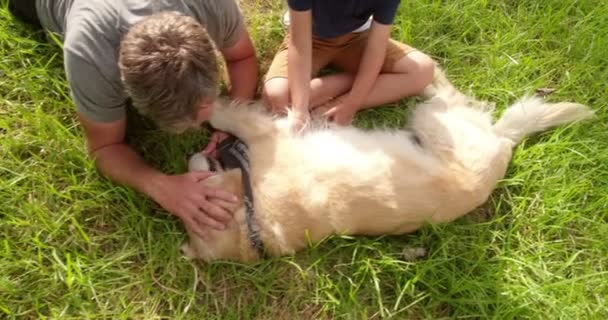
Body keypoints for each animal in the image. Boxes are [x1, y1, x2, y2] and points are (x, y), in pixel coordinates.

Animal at [182, 70, 592, 262]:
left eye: (197, 179)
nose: (190, 158)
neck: (253, 216)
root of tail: (504, 142)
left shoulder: (269, 134)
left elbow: (229, 116)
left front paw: (210, 109)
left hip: (433, 120)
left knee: (453, 94)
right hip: (440, 124)